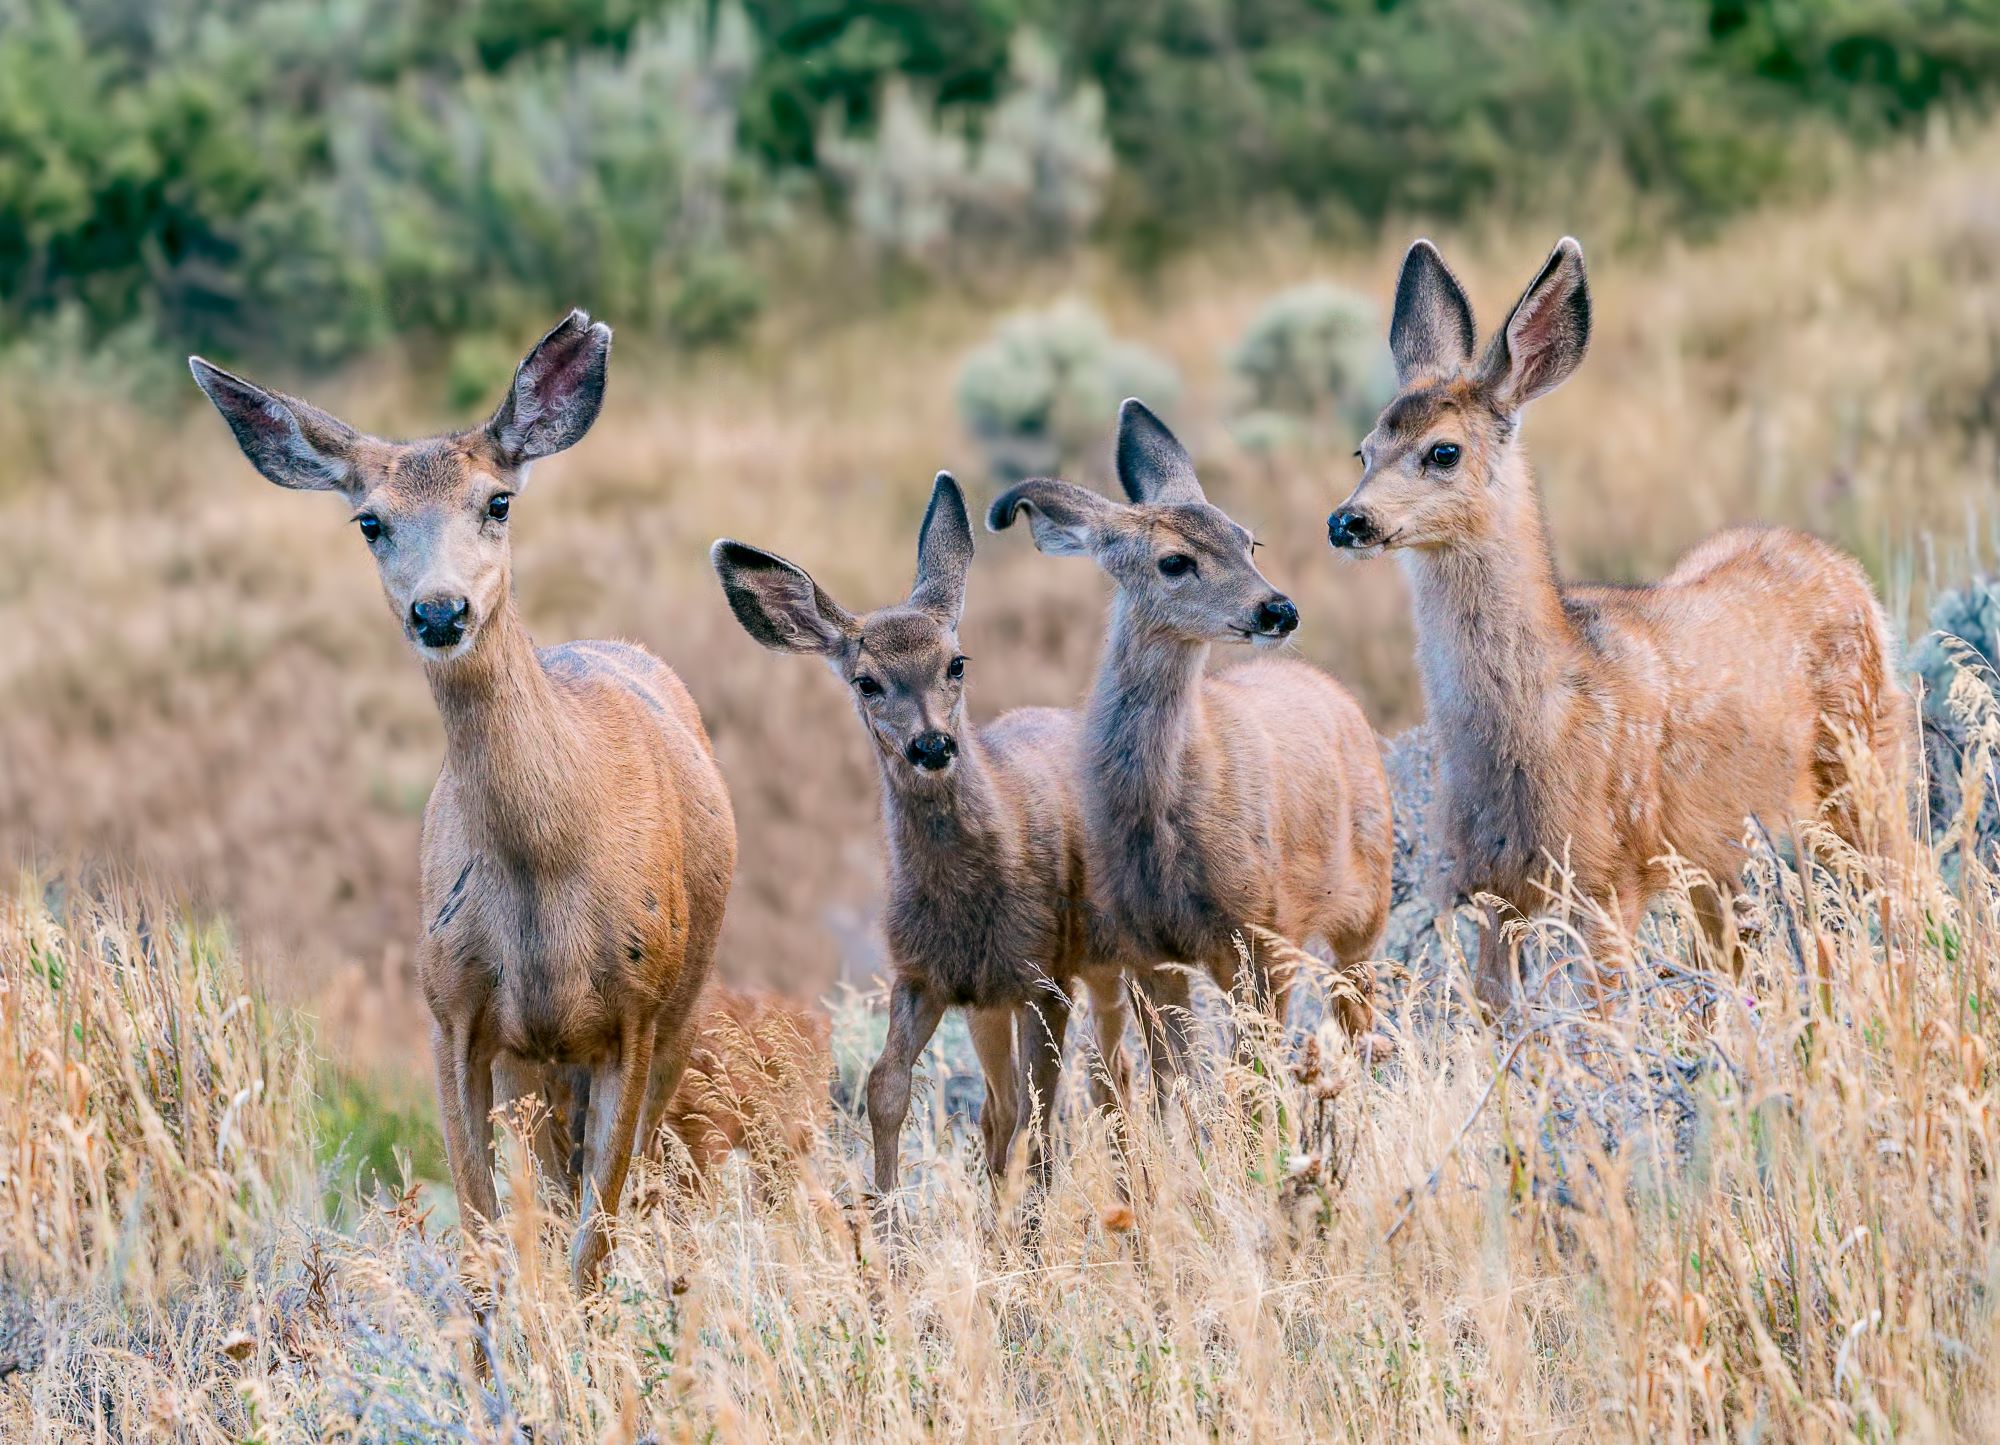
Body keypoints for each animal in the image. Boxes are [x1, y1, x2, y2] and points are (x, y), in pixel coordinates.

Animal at [186, 310, 736, 1280]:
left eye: (498, 501)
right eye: (370, 520)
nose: (440, 612)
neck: (547, 864)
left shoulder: (635, 1010)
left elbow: (591, 1245)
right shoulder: (451, 1009)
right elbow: (486, 1234)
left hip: (678, 1004)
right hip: (532, 1060)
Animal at [712, 472, 1136, 1192]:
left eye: (956, 662)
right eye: (866, 680)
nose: (932, 744)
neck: (967, 901)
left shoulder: (1043, 973)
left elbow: (1044, 1103)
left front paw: (1031, 1213)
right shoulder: (922, 974)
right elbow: (887, 1086)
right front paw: (883, 1212)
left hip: (1103, 953)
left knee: (1113, 1073)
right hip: (988, 1002)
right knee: (1000, 1104)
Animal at [984, 400, 1392, 1088]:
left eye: (1248, 541)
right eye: (1174, 561)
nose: (1278, 610)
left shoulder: (1264, 930)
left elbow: (1253, 1081)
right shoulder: (1144, 951)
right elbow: (1174, 1079)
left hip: (1369, 903)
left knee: (1363, 1018)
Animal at [1328, 236, 1904, 1000]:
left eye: (1443, 451)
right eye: (1363, 451)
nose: (1348, 520)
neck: (1542, 719)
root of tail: (1841, 567)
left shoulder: (1609, 872)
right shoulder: (1491, 890)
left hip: (1863, 762)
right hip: (1722, 848)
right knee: (1734, 952)